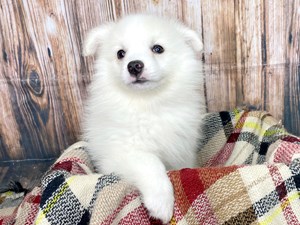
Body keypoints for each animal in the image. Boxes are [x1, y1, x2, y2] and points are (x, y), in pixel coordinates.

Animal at [82, 14, 205, 223]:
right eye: (120, 53)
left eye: (158, 48)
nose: (134, 65)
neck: (148, 103)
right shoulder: (121, 152)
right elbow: (150, 162)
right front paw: (162, 204)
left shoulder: (182, 151)